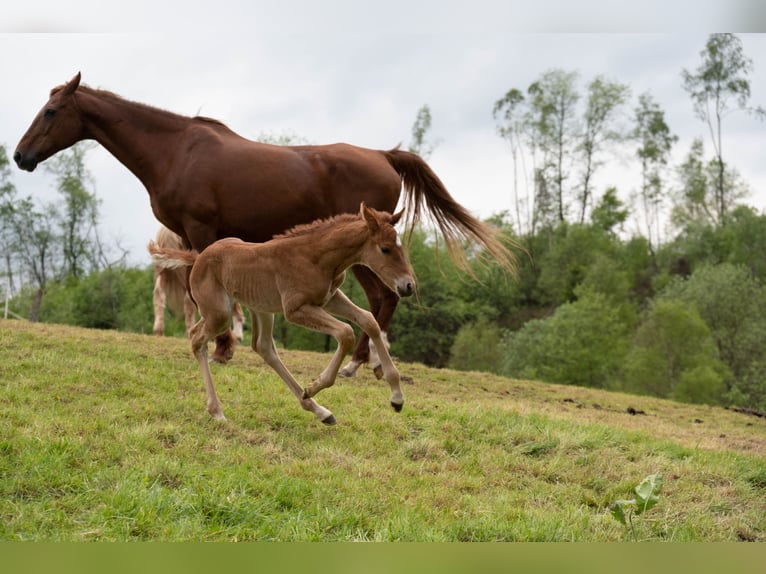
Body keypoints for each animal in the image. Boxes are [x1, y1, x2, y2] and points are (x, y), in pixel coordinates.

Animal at [13, 73, 516, 368]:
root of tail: (383, 154)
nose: (20, 156)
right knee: (382, 302)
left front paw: (222, 347)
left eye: (51, 111)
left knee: (383, 299)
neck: (175, 150)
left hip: (367, 255)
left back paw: (360, 362)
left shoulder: (200, 232)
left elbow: (203, 300)